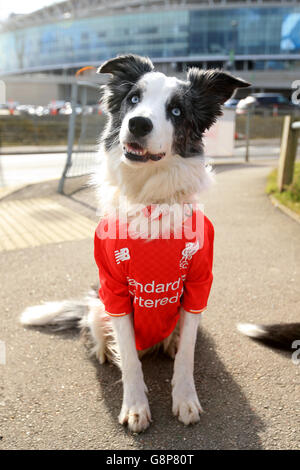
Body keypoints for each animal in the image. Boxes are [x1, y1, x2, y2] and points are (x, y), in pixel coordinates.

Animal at [19, 55, 251, 434]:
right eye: (133, 99)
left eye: (176, 110)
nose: (138, 123)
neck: (151, 202)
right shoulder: (114, 289)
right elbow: (129, 357)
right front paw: (135, 406)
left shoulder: (198, 285)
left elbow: (187, 356)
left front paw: (185, 398)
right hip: (98, 304)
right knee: (99, 331)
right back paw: (103, 349)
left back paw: (169, 343)